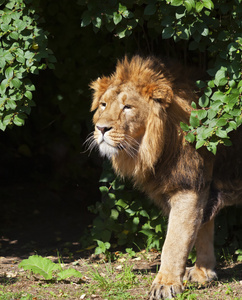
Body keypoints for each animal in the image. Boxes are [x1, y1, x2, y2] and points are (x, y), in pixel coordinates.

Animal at [88, 55, 242, 298]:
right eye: (103, 105)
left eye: (127, 107)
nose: (101, 128)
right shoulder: (202, 185)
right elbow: (202, 231)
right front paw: (203, 273)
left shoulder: (188, 187)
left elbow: (174, 241)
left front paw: (165, 284)